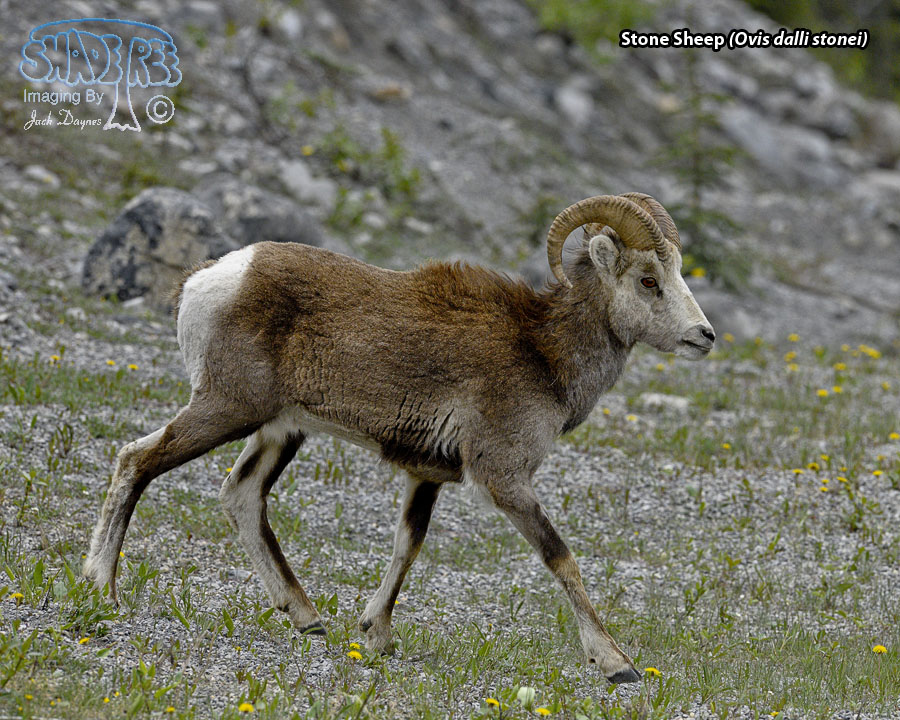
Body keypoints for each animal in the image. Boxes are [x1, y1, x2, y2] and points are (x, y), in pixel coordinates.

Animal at [83, 193, 715, 684]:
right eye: (649, 281)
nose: (703, 336)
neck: (544, 352)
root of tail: (208, 280)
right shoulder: (505, 480)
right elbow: (560, 557)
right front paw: (617, 665)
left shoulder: (426, 475)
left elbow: (406, 546)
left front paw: (376, 636)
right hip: (227, 408)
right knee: (137, 460)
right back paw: (101, 590)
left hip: (280, 429)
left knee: (241, 497)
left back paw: (307, 617)